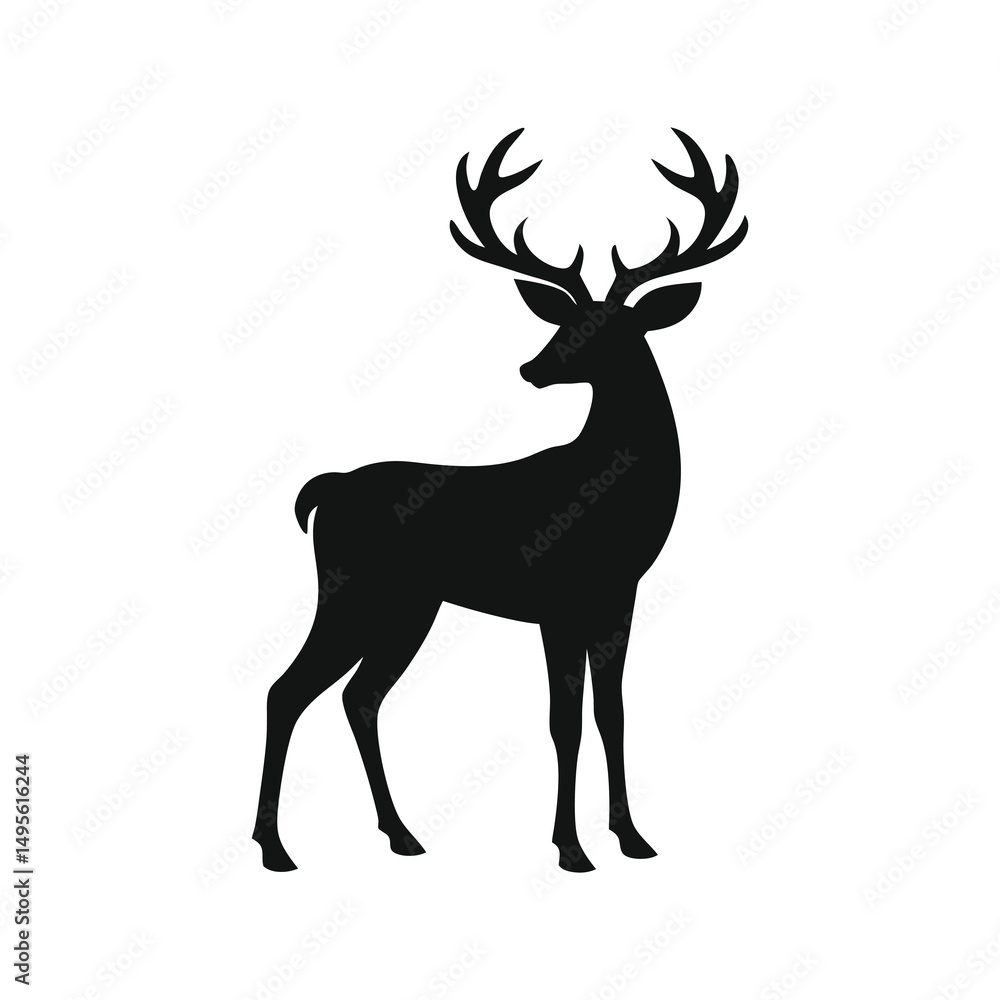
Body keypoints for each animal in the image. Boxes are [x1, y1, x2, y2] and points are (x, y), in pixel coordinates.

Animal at [252, 127, 747, 873]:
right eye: (565, 320)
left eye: (616, 329)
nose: (532, 367)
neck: (613, 495)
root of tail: (325, 491)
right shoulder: (559, 597)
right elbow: (563, 720)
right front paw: (571, 848)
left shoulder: (618, 596)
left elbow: (612, 713)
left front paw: (632, 838)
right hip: (351, 588)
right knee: (288, 689)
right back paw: (276, 848)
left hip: (409, 604)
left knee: (359, 696)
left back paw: (401, 835)